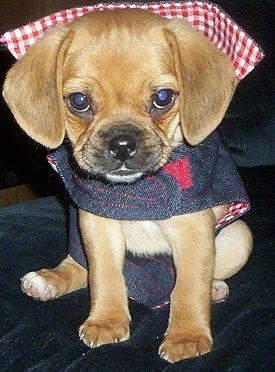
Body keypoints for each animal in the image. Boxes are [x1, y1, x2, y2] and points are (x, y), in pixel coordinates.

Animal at [2, 9, 253, 364]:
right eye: (79, 101)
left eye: (162, 98)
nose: (122, 144)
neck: (136, 191)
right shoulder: (97, 227)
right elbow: (105, 278)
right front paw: (106, 321)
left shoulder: (193, 231)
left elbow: (189, 288)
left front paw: (187, 336)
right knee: (78, 266)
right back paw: (48, 280)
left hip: (240, 237)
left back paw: (215, 289)